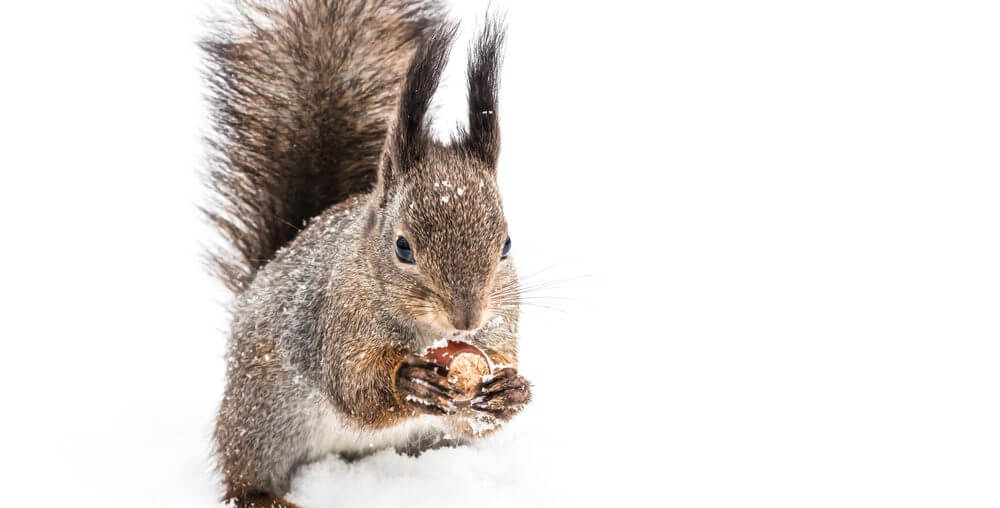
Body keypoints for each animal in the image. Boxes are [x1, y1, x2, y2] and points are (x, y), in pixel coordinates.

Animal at [202, 0, 531, 506]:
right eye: (403, 247)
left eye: (507, 244)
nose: (466, 319)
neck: (426, 333)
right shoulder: (341, 320)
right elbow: (355, 388)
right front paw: (408, 382)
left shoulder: (501, 322)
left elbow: (480, 404)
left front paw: (509, 391)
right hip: (261, 417)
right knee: (243, 466)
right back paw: (263, 495)